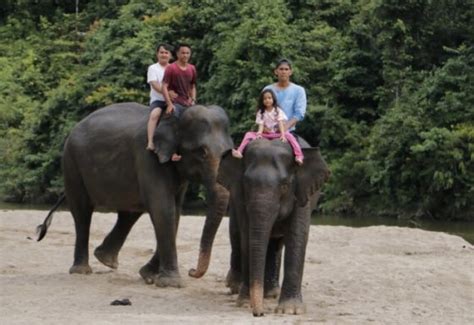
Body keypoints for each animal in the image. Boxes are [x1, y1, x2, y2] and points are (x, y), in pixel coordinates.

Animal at [37, 101, 233, 286]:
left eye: (230, 152)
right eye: (201, 152)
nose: (192, 271)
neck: (177, 115)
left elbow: (175, 211)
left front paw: (148, 277)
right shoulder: (148, 157)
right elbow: (163, 209)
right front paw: (170, 283)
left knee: (129, 213)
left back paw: (106, 260)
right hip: (71, 164)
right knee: (82, 212)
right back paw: (82, 270)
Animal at [216, 138, 330, 316]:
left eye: (284, 185)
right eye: (246, 184)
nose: (259, 314)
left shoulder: (303, 193)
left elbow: (297, 237)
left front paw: (291, 310)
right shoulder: (240, 197)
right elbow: (247, 236)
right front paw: (244, 303)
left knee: (275, 244)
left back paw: (270, 294)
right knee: (238, 234)